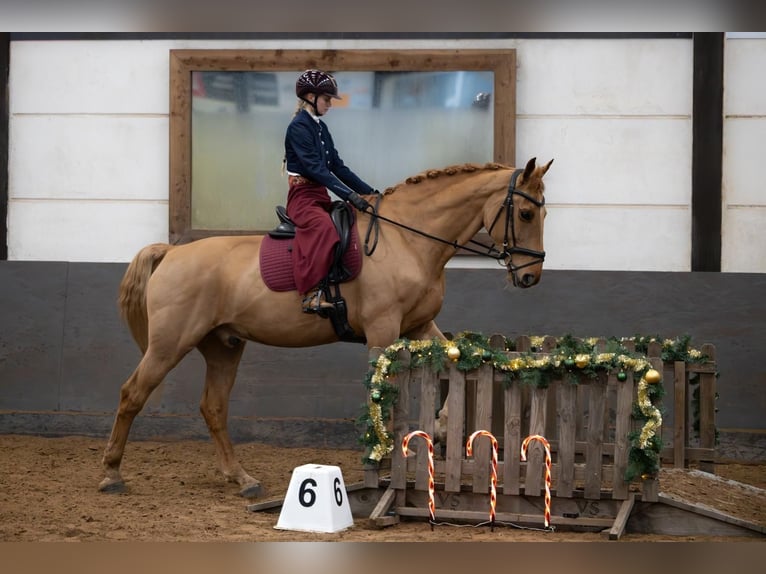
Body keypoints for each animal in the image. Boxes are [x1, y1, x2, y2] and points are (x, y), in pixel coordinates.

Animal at [98, 156, 553, 498]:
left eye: (543, 211)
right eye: (526, 212)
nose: (531, 276)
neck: (407, 240)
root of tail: (172, 252)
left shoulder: (419, 325)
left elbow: (454, 358)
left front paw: (440, 429)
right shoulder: (383, 332)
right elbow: (383, 398)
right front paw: (381, 457)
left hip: (223, 346)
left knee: (213, 407)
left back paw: (242, 479)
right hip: (169, 344)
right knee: (132, 394)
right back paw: (111, 474)